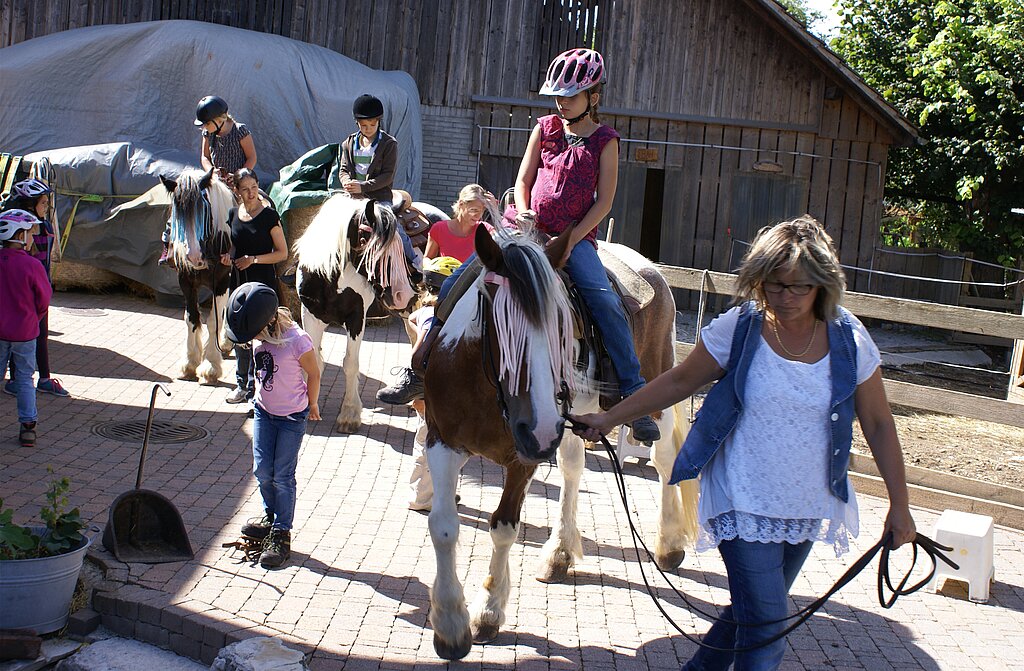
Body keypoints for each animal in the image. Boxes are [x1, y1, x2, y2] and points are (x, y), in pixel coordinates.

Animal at [160, 168, 233, 383]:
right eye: (178, 214)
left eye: (204, 210)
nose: (193, 256)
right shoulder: (186, 282)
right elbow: (192, 318)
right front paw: (190, 362)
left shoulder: (221, 282)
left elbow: (213, 321)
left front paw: (211, 365)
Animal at [292, 194, 415, 432]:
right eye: (370, 244)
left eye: (401, 246)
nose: (402, 294)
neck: (331, 281)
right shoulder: (310, 315)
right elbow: (312, 359)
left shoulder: (356, 318)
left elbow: (350, 363)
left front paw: (349, 414)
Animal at [419, 225, 700, 659]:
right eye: (500, 325)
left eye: (563, 326)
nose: (539, 430)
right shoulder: (442, 441)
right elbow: (444, 526)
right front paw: (450, 623)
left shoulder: (523, 458)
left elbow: (503, 528)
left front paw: (487, 612)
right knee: (572, 468)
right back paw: (559, 553)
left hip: (655, 390)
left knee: (664, 458)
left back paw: (668, 543)